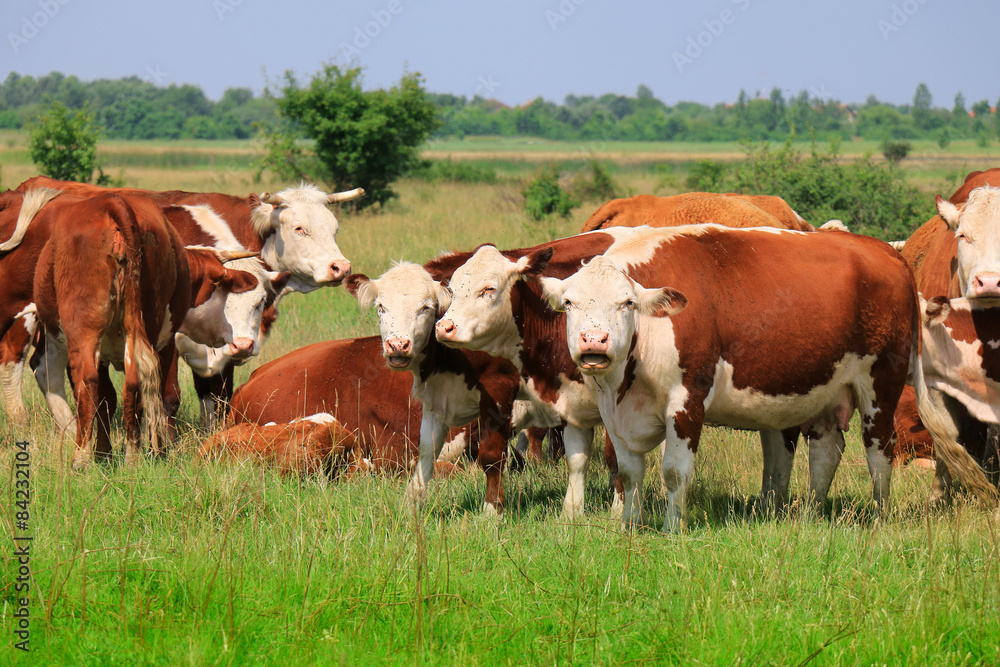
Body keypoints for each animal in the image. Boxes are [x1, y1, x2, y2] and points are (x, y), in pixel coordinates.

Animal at [346, 260, 528, 512]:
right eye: (381, 307)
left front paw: (492, 509)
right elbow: (427, 451)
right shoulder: (437, 400)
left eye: (425, 308)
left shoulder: (499, 390)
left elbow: (492, 454)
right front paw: (411, 505)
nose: (397, 345)